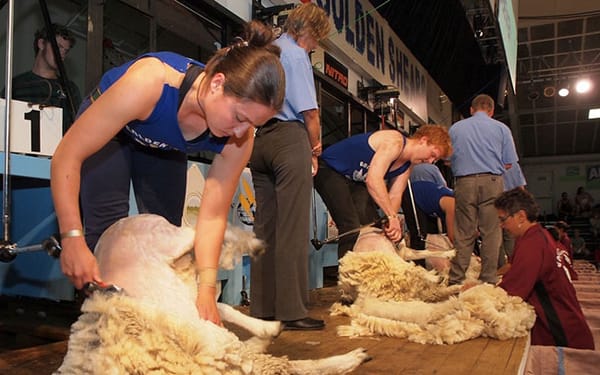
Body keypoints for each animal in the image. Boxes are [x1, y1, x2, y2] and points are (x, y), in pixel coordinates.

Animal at [332, 228, 536, 346]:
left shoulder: (405, 253)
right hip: (386, 260)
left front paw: (448, 257)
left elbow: (423, 254)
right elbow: (418, 266)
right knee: (412, 269)